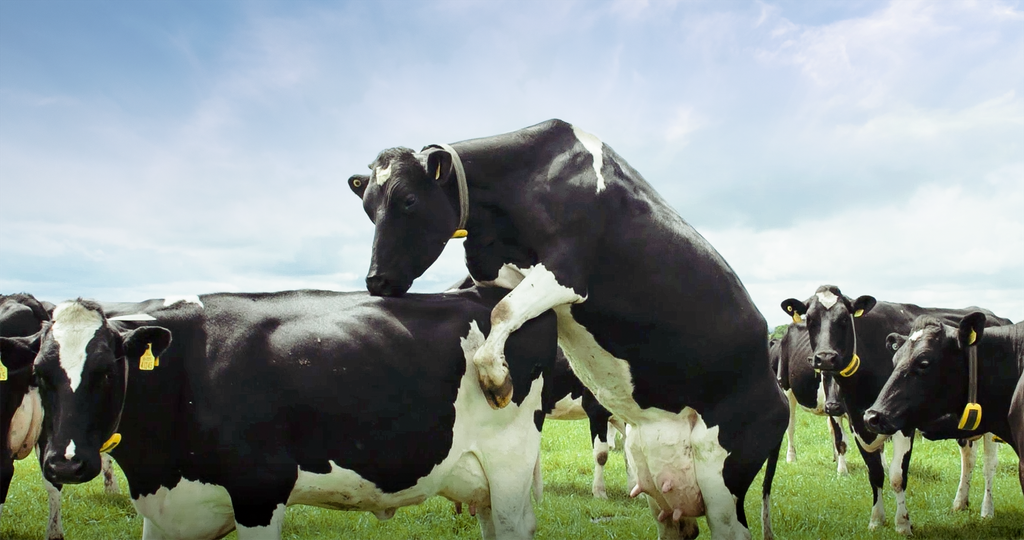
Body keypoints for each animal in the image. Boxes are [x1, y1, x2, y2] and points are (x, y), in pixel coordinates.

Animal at [0, 288, 558, 540]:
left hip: (509, 465)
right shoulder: (165, 514)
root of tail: (487, 293)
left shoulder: (260, 493)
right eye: (39, 376)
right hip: (481, 484)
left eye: (106, 372)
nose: (65, 463)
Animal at [347, 119, 787, 540]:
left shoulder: (567, 272)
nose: (376, 281)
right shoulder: (496, 269)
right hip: (658, 474)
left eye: (408, 200)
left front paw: (496, 379)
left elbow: (503, 311)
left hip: (724, 468)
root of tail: (778, 394)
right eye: (368, 208)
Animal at [770, 322, 850, 474]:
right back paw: (791, 457)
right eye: (824, 374)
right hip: (786, 389)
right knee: (790, 426)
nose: (832, 405)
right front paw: (842, 471)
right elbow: (840, 440)